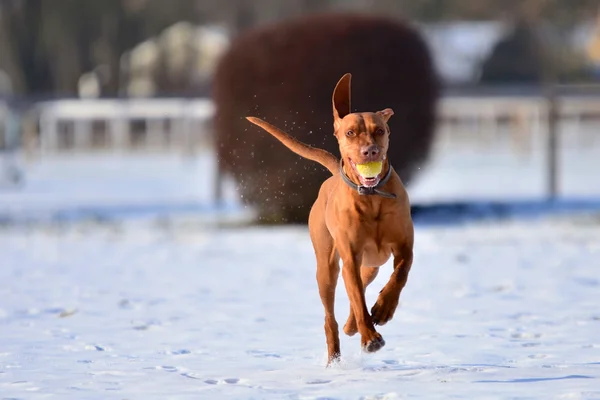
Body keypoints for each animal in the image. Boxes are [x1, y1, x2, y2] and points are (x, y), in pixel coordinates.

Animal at [246, 73, 414, 364]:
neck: (372, 197)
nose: (370, 151)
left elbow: (399, 275)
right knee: (332, 314)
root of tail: (334, 174)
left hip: (371, 264)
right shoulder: (350, 257)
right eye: (350, 133)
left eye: (380, 131)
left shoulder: (404, 246)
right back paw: (336, 352)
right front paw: (370, 338)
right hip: (326, 268)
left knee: (362, 288)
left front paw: (383, 309)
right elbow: (357, 297)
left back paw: (354, 324)